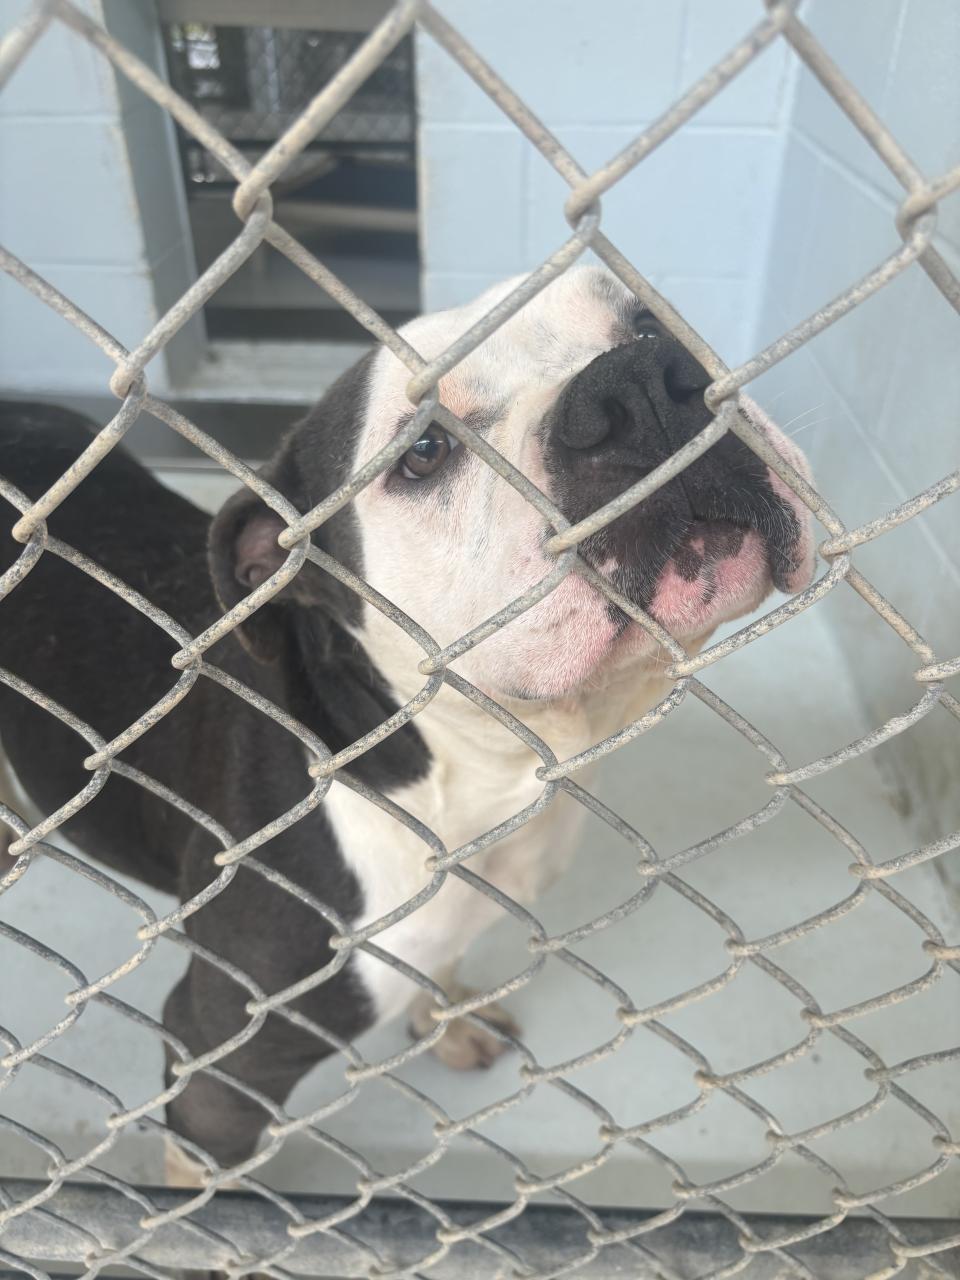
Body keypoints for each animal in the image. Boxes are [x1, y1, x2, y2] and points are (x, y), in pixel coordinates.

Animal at [0, 265, 815, 1184]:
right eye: (423, 452)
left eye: (648, 321)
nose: (641, 384)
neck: (472, 782)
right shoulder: (221, 1062)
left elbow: (441, 970)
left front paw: (449, 1022)